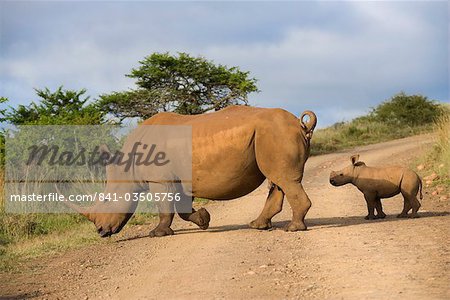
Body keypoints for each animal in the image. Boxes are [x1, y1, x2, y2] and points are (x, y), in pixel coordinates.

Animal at [64, 106, 316, 238]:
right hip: (272, 135)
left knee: (285, 179)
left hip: (275, 133)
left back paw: (293, 229)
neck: (128, 167)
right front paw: (204, 220)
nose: (101, 232)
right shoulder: (178, 179)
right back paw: (257, 225)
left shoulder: (160, 180)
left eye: (106, 200)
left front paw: (157, 233)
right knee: (278, 180)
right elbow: (183, 209)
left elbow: (165, 208)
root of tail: (300, 124)